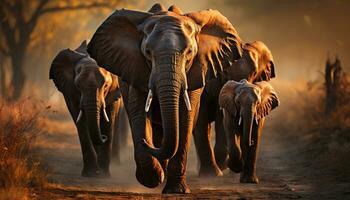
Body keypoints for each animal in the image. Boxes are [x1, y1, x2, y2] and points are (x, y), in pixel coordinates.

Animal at [48, 40, 121, 177]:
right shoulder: (70, 92)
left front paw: (104, 175)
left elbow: (109, 119)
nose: (103, 137)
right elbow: (81, 122)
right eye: (77, 85)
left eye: (106, 85)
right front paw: (91, 174)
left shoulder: (115, 90)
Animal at [86, 3, 242, 194]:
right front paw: (152, 179)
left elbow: (184, 119)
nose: (145, 142)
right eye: (147, 52)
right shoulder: (136, 69)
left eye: (189, 52)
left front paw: (176, 190)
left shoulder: (195, 72)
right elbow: (139, 114)